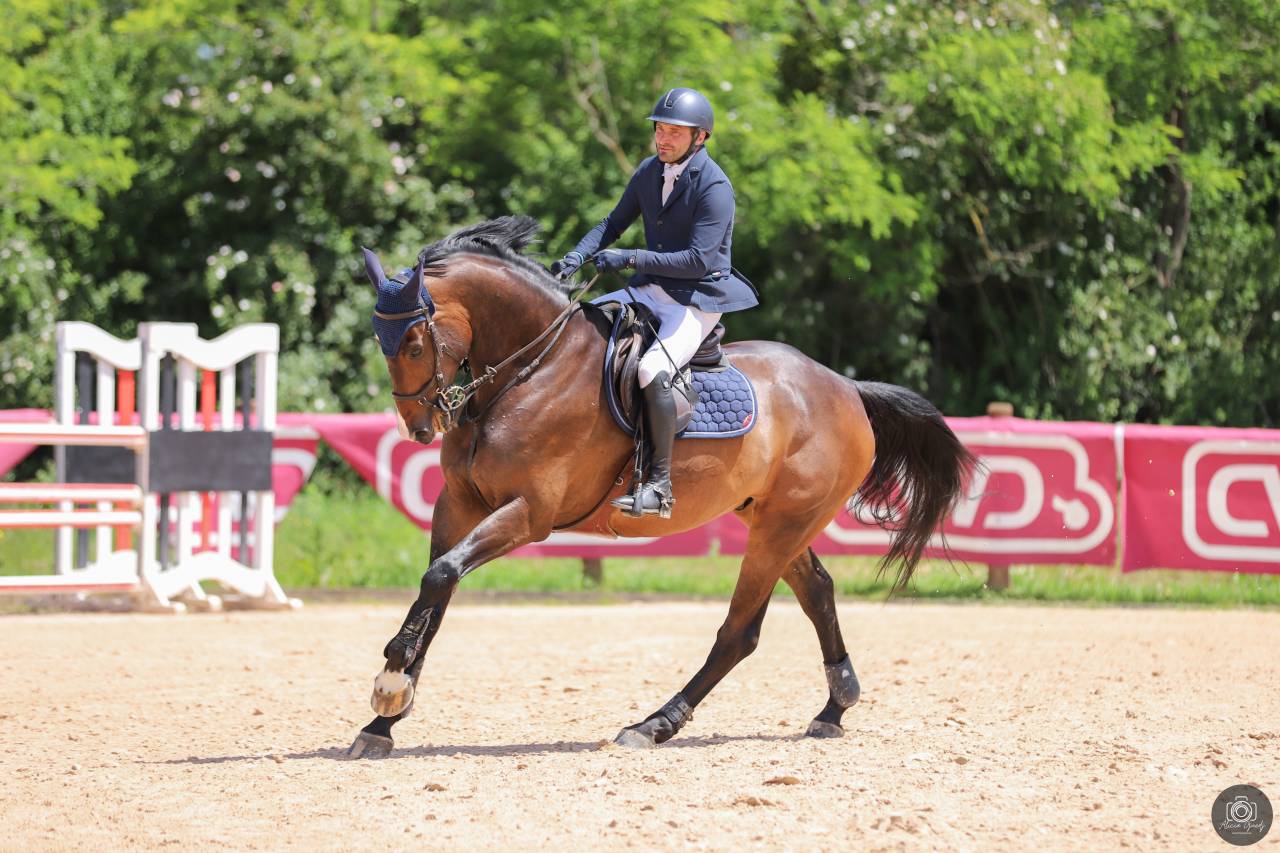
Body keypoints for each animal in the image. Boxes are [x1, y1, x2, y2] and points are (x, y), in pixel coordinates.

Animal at [346, 216, 975, 759]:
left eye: (413, 344)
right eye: (381, 341)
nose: (420, 427)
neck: (531, 369)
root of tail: (846, 387)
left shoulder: (528, 513)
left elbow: (440, 576)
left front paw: (391, 678)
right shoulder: (458, 505)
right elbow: (438, 589)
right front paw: (383, 719)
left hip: (781, 526)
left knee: (739, 633)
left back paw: (653, 724)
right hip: (775, 519)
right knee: (817, 591)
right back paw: (834, 707)